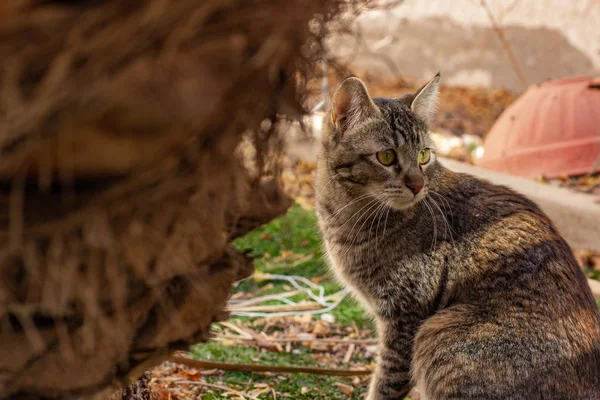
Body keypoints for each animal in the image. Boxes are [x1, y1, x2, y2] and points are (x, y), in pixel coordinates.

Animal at [314, 73, 600, 398]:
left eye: (424, 155)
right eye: (386, 157)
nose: (417, 185)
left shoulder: (406, 317)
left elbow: (385, 383)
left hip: (437, 333)